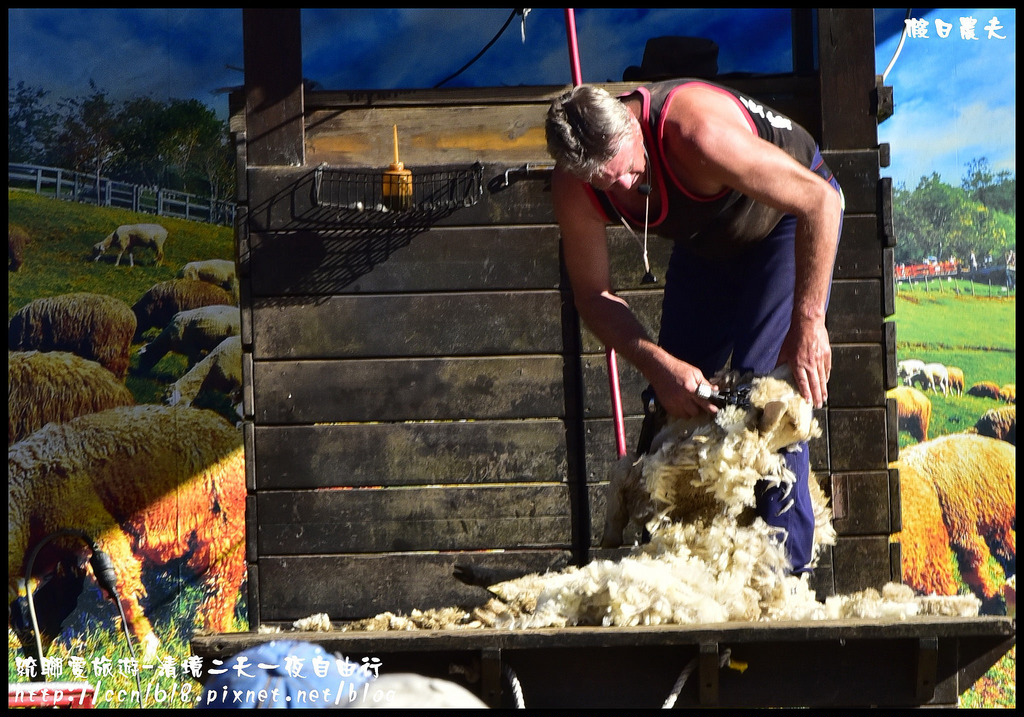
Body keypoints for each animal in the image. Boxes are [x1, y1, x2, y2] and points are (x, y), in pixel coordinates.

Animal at [8, 403, 245, 659]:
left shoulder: (92, 527)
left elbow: (123, 586)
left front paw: (147, 647)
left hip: (225, 528)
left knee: (221, 590)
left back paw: (216, 634)